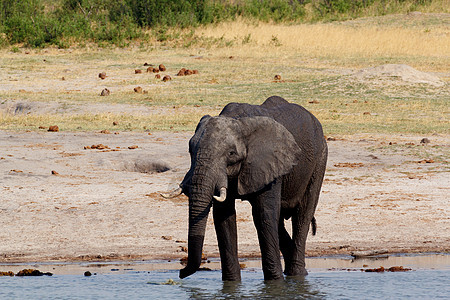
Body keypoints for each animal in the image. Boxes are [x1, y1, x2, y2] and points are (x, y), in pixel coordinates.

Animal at [171, 96, 326, 282]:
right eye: (190, 150)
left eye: (231, 153)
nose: (180, 273)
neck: (238, 120)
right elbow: (224, 217)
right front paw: (231, 283)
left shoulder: (270, 163)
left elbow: (264, 215)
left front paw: (275, 283)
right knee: (280, 222)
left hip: (319, 160)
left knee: (302, 216)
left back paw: (297, 275)